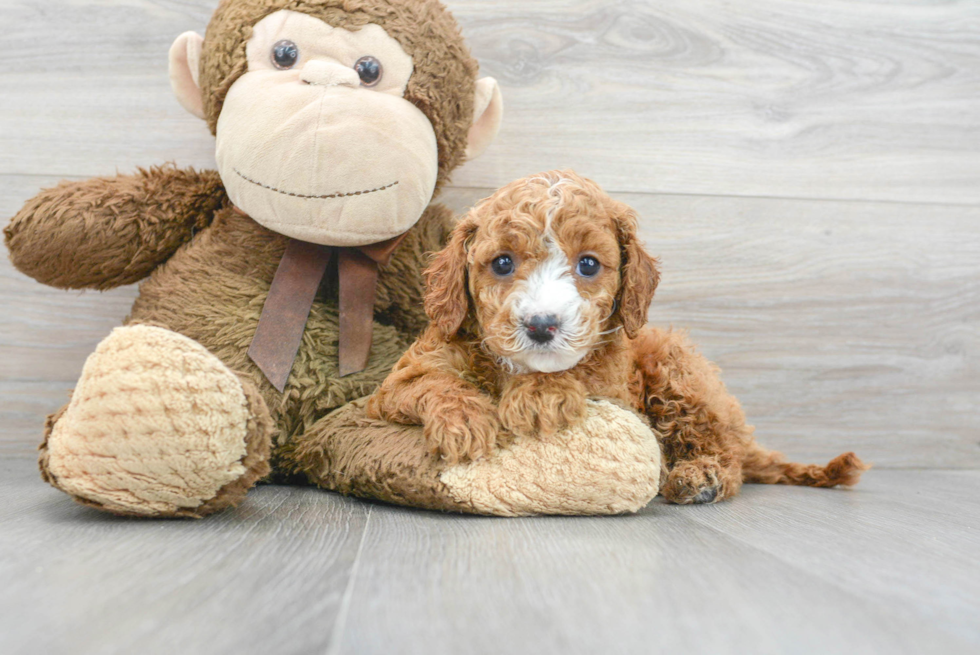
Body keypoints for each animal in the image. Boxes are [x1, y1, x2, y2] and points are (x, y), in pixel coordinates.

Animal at [366, 169, 864, 502]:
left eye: (588, 264)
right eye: (502, 263)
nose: (542, 325)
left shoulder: (616, 391)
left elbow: (575, 378)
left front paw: (541, 394)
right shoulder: (395, 384)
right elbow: (433, 383)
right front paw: (465, 423)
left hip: (674, 364)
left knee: (726, 454)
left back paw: (702, 477)